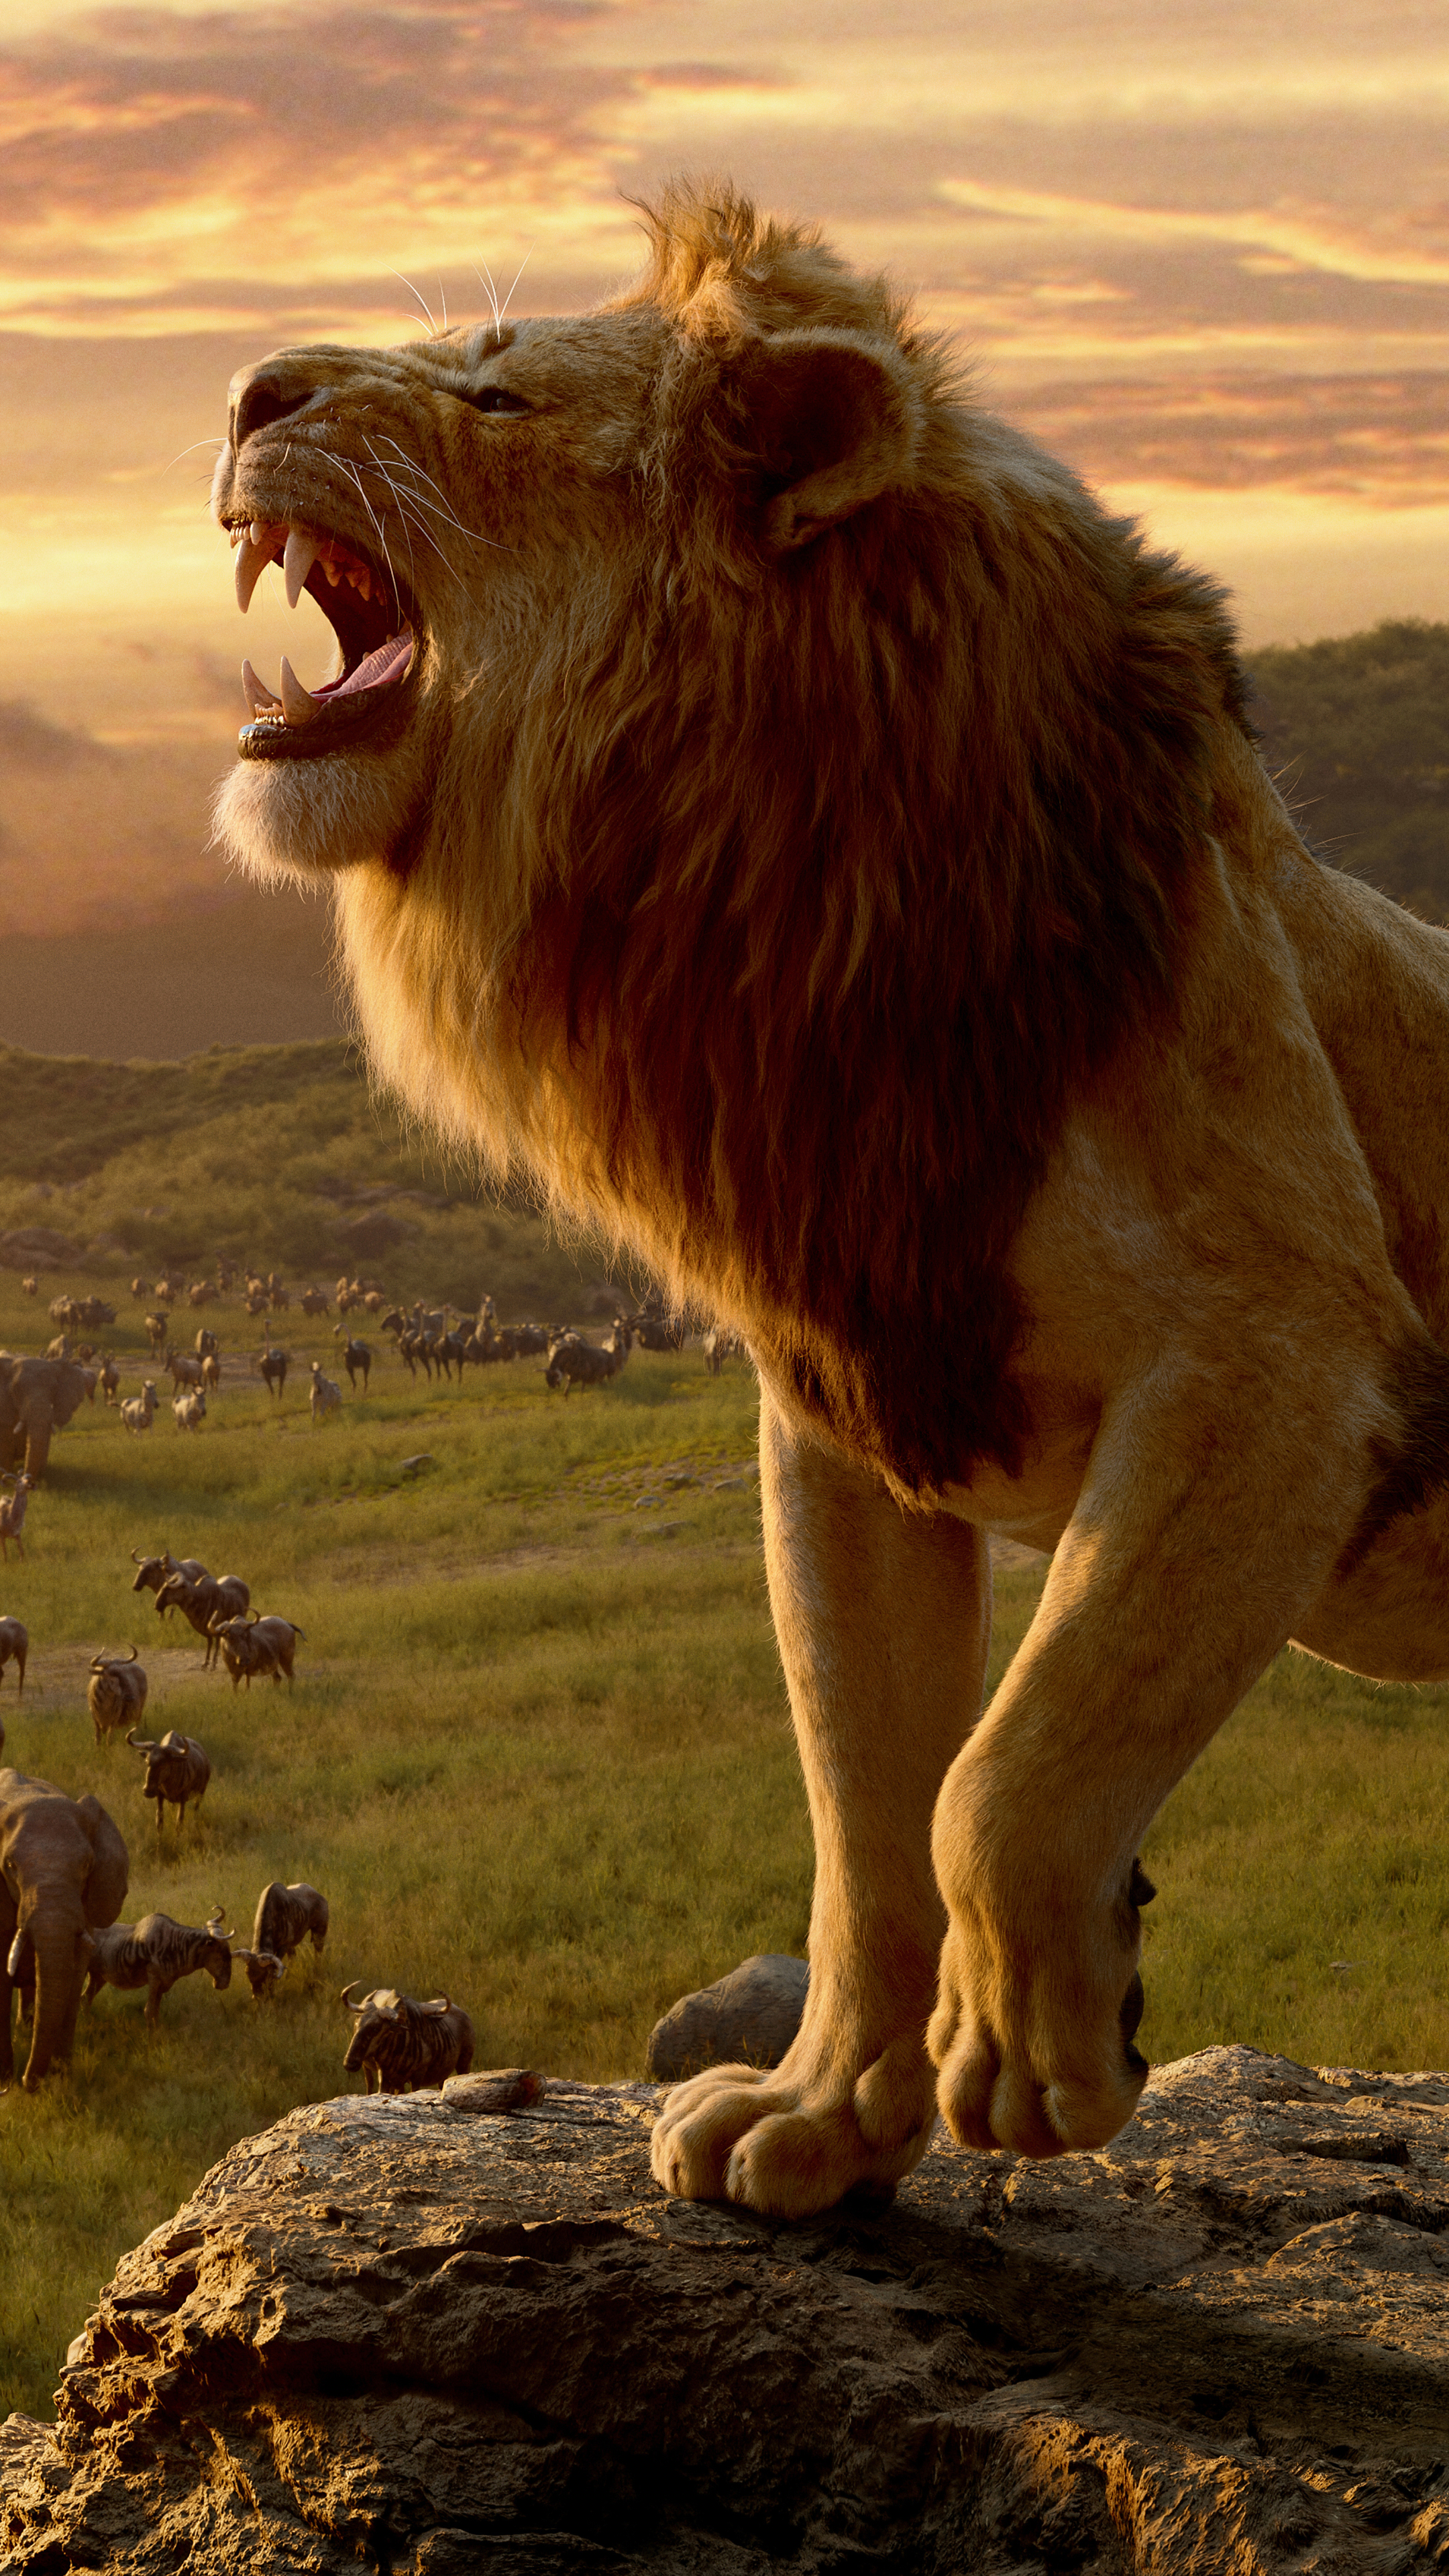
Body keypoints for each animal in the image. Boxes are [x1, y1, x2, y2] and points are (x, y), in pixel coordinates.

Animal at [210, 181, 1449, 2217]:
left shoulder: (1280, 1354)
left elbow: (1003, 1772)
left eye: (495, 395)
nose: (245, 388)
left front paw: (1041, 2050)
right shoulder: (844, 1398)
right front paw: (820, 2118)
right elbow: (865, 1807)